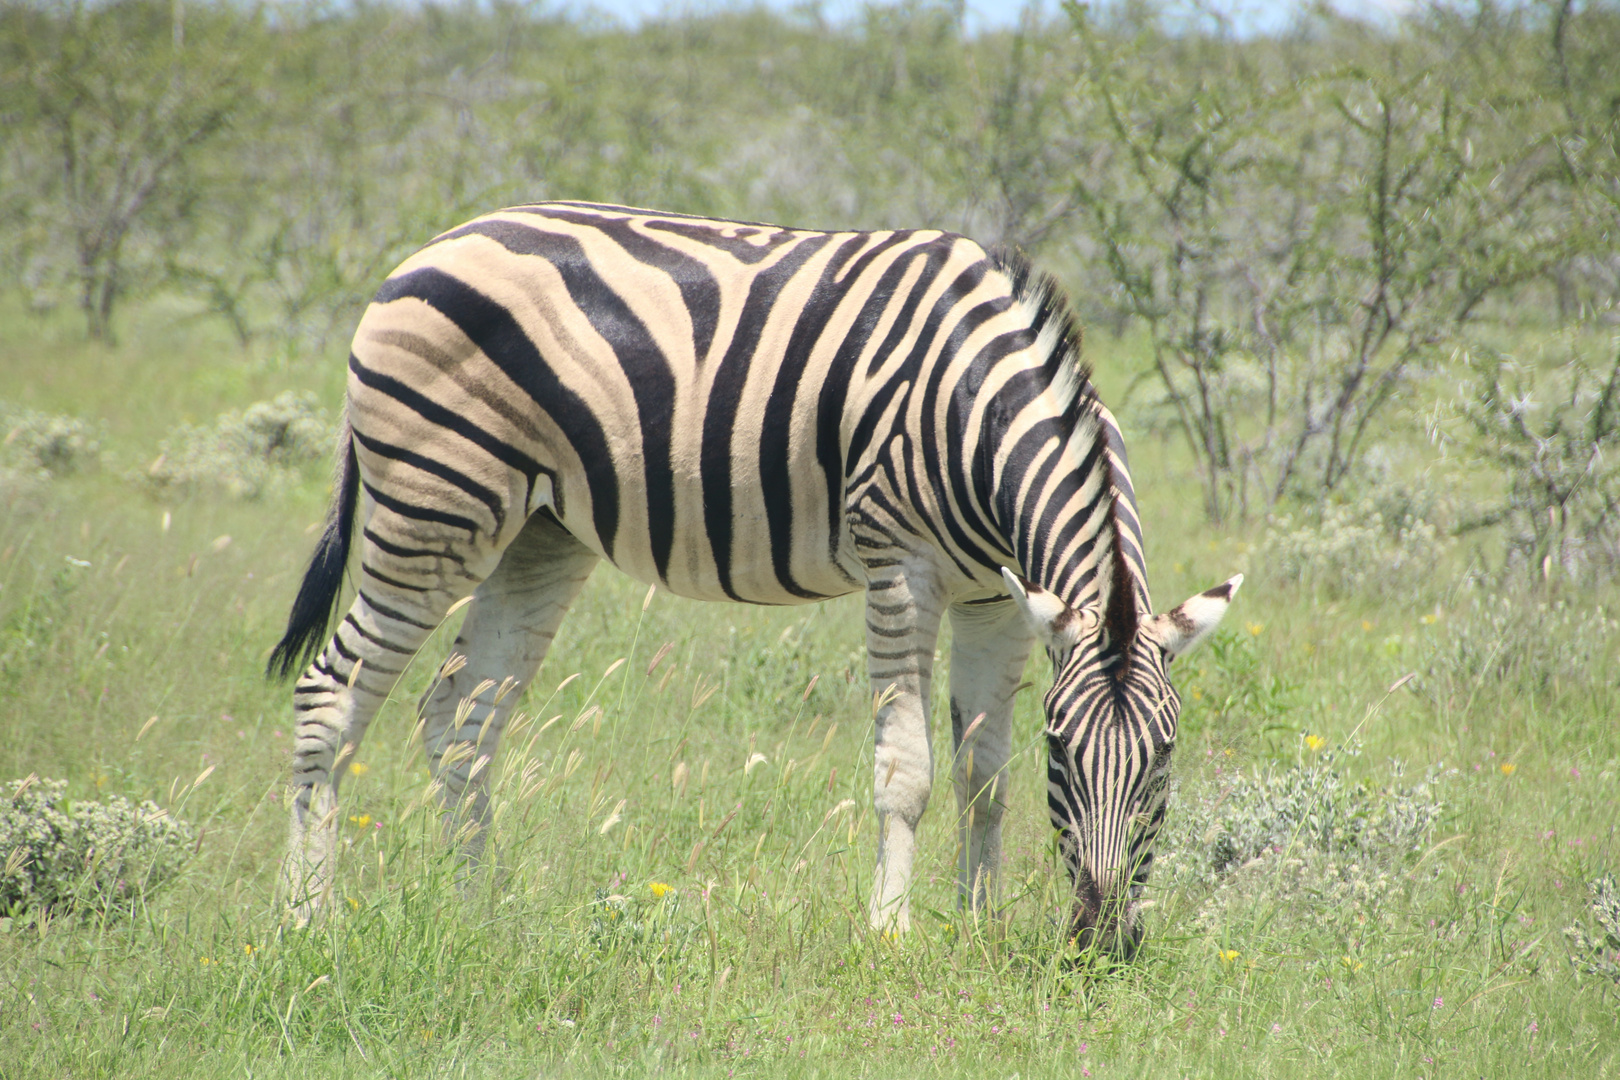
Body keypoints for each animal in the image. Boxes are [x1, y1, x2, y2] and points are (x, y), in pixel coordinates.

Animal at [268, 200, 1237, 952]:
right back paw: (309, 921)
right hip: (432, 506)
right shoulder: (900, 566)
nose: (1102, 941)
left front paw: (977, 924)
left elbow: (983, 775)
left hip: (538, 533)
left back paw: (476, 911)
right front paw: (891, 932)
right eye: (1064, 754)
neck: (978, 407)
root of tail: (429, 247)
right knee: (331, 697)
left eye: (1164, 758)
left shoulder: (996, 597)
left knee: (462, 718)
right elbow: (909, 770)